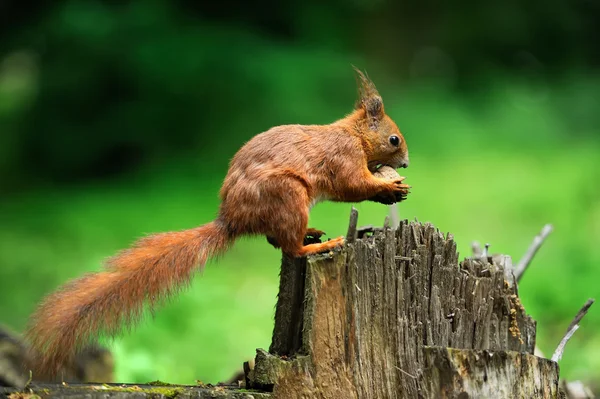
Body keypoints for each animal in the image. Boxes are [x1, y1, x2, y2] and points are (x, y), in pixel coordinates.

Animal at [27, 68, 412, 378]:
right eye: (394, 139)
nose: (406, 163)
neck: (354, 136)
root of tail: (232, 220)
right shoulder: (342, 159)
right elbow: (352, 185)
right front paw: (387, 188)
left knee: (275, 241)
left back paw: (313, 233)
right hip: (288, 196)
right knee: (288, 246)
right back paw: (321, 244)